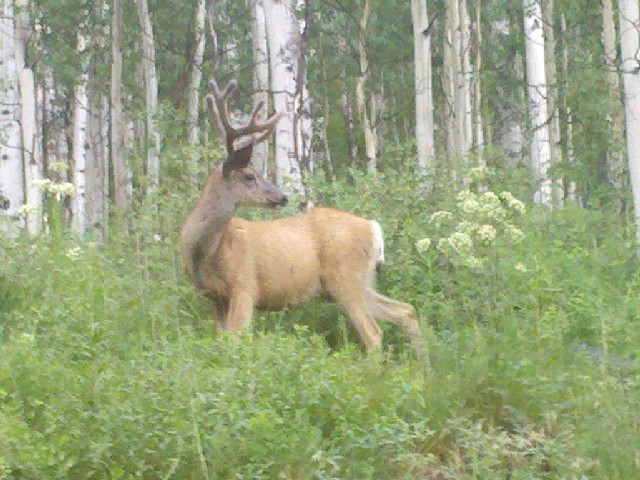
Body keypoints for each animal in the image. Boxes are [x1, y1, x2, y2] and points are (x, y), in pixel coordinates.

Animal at [179, 76, 420, 352]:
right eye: (249, 176)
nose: (281, 197)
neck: (205, 251)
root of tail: (372, 226)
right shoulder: (214, 297)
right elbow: (222, 341)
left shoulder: (244, 287)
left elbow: (236, 341)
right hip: (358, 281)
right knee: (406, 311)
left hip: (345, 276)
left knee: (373, 333)